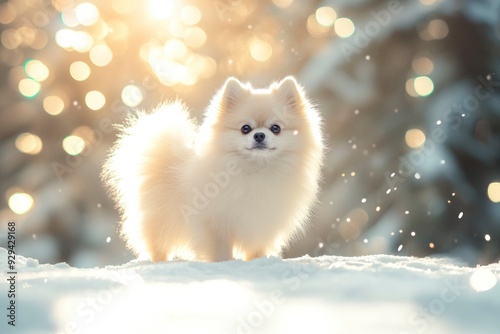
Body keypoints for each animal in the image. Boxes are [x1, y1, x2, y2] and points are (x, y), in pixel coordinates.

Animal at [103, 77, 326, 262]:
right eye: (245, 128)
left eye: (276, 128)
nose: (259, 135)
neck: (255, 171)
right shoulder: (215, 224)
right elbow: (220, 250)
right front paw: (223, 264)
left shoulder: (261, 223)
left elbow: (256, 249)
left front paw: (258, 262)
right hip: (161, 219)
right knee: (157, 244)